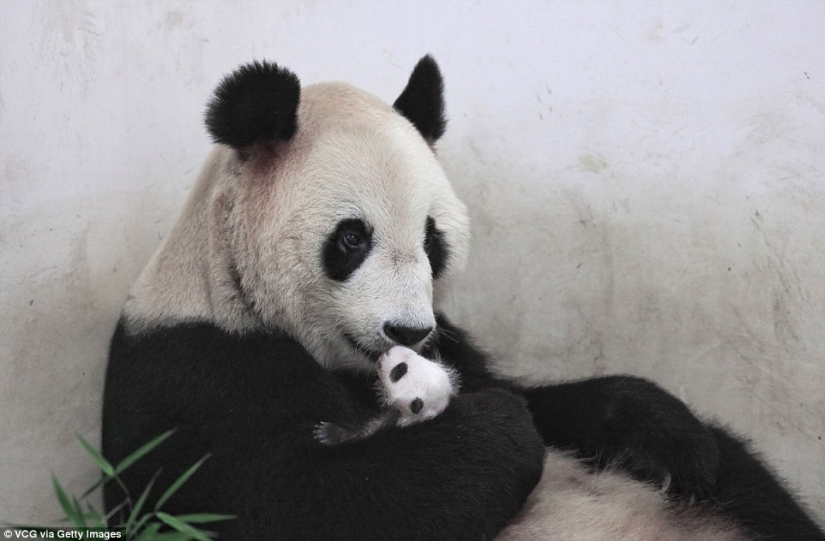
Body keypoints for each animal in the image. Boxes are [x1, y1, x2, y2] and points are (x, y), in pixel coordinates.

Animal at [100, 56, 820, 540]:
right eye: (352, 238)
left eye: (431, 237)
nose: (405, 333)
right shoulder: (197, 376)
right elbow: (306, 501)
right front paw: (493, 425)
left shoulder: (453, 338)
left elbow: (547, 400)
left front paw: (666, 434)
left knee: (749, 483)